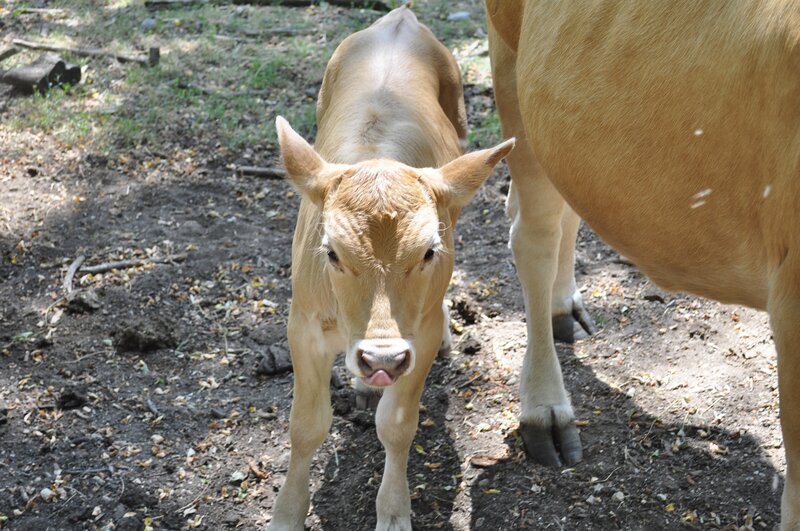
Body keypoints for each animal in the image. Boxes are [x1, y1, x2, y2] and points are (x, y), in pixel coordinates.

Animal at [268, 7, 514, 530]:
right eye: (331, 252)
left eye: (429, 252)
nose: (381, 359)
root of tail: (401, 17)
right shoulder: (302, 325)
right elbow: (306, 426)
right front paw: (286, 513)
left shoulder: (418, 336)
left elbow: (398, 426)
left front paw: (394, 511)